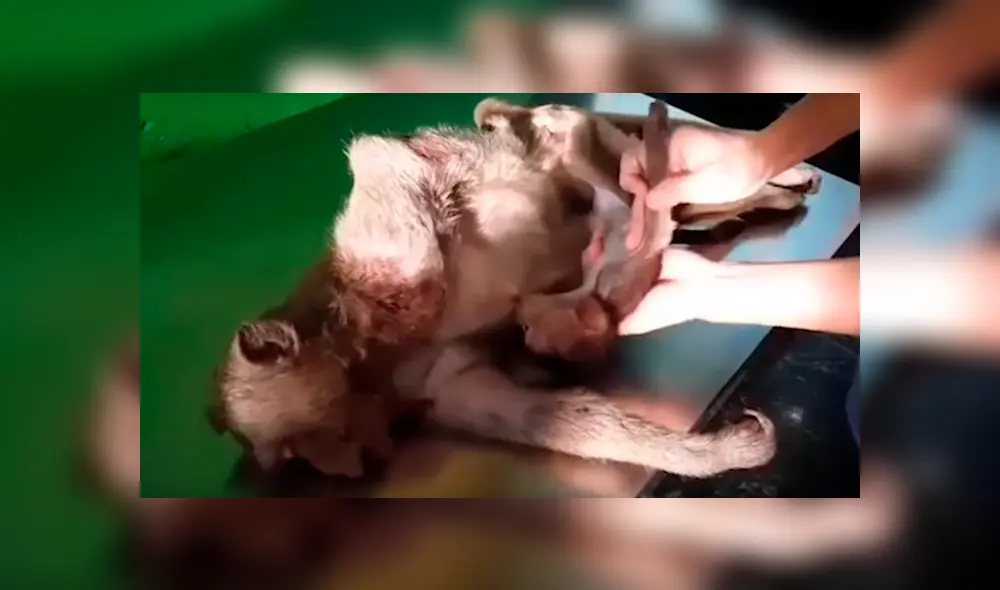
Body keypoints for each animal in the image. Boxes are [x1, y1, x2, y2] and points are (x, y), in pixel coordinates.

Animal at [210, 97, 820, 482]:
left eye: (332, 440)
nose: (364, 458)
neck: (370, 360)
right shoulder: (433, 381)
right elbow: (531, 412)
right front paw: (710, 455)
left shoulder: (370, 266)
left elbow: (384, 159)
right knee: (671, 197)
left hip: (576, 138)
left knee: (586, 152)